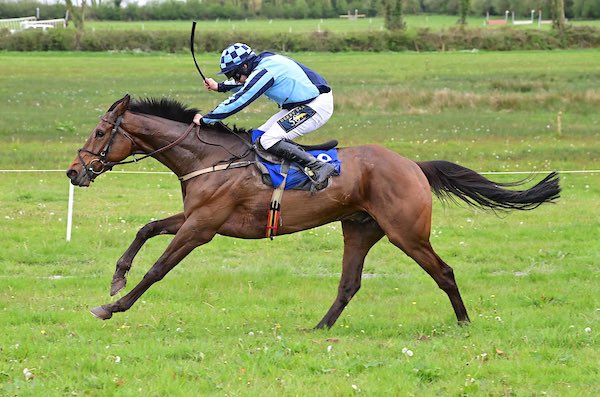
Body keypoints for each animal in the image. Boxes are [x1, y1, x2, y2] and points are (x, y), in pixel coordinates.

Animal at [67, 94, 564, 326]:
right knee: (349, 284)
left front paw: (111, 306)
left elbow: (158, 269)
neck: (207, 157)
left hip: (407, 232)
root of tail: (412, 164)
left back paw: (462, 322)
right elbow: (147, 228)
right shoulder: (195, 218)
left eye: (99, 133)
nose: (74, 172)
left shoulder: (203, 226)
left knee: (443, 272)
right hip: (360, 229)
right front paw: (117, 277)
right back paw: (320, 328)